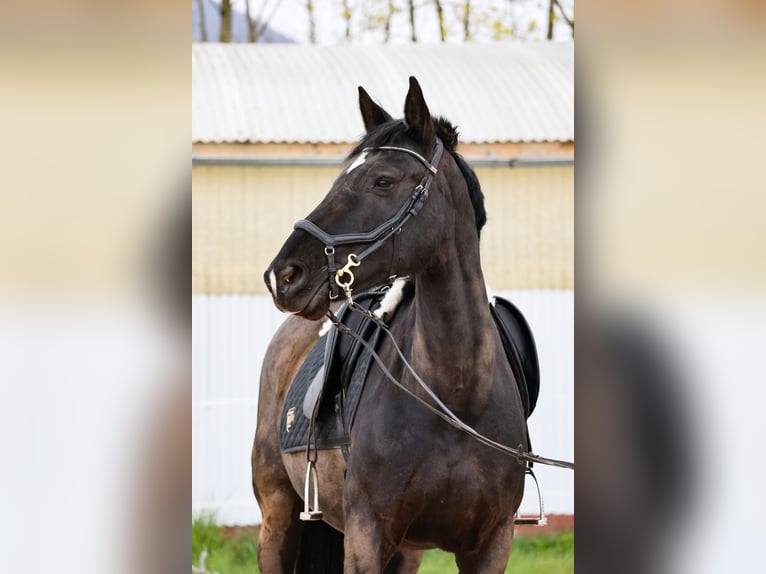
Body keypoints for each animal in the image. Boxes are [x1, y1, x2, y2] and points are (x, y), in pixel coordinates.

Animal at [252, 77, 528, 573]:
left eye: (382, 181)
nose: (283, 275)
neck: (455, 398)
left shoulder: (490, 546)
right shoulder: (366, 538)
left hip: (407, 551)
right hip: (277, 519)